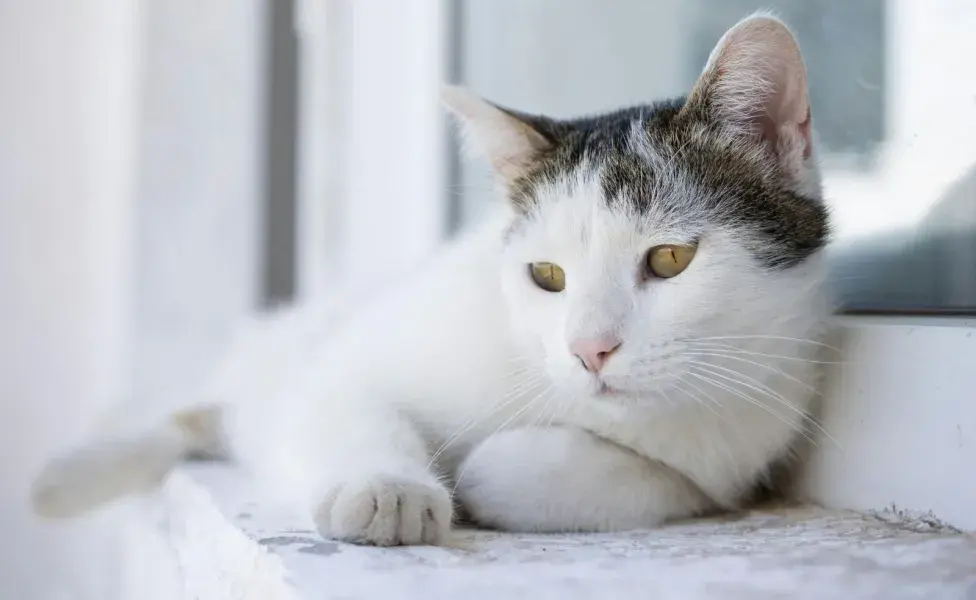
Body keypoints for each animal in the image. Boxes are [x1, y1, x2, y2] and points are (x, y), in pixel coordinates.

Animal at [30, 14, 832, 548]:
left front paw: (487, 474)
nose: (588, 351)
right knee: (204, 416)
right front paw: (388, 488)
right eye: (546, 276)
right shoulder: (336, 366)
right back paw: (66, 478)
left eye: (668, 261)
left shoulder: (731, 451)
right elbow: (350, 403)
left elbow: (546, 472)